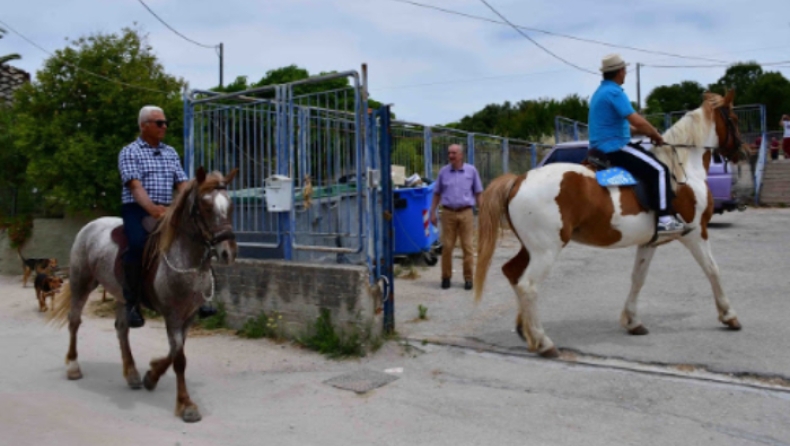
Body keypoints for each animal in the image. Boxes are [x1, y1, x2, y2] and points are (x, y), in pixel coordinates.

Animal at [50, 166, 238, 422]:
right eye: (206, 207)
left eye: (230, 206)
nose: (228, 253)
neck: (185, 258)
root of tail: (92, 225)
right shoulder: (172, 315)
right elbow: (179, 359)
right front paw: (186, 405)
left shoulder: (189, 315)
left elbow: (174, 351)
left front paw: (152, 376)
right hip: (82, 283)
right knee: (74, 321)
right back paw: (73, 367)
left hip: (122, 295)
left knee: (122, 329)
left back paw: (132, 373)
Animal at [480, 91, 744, 358]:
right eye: (733, 118)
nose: (742, 152)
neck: (682, 172)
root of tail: (519, 180)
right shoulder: (695, 233)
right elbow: (713, 270)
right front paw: (729, 315)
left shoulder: (650, 242)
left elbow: (638, 278)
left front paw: (633, 321)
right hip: (546, 250)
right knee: (528, 286)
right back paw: (544, 342)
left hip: (531, 248)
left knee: (513, 273)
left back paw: (525, 330)